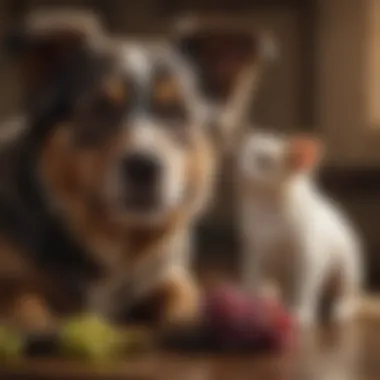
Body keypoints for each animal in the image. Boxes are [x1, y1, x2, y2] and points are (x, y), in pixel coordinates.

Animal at [0, 10, 270, 332]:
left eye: (176, 112)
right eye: (101, 108)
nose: (144, 167)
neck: (119, 244)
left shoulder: (169, 275)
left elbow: (183, 295)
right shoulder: (14, 279)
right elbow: (21, 298)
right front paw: (35, 322)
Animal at [236, 131, 364, 326]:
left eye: (262, 160)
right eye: (246, 147)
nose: (238, 160)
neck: (265, 206)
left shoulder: (309, 255)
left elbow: (305, 285)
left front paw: (300, 313)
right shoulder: (254, 249)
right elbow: (252, 276)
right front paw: (250, 304)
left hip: (348, 266)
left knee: (346, 292)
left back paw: (341, 309)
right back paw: (270, 295)